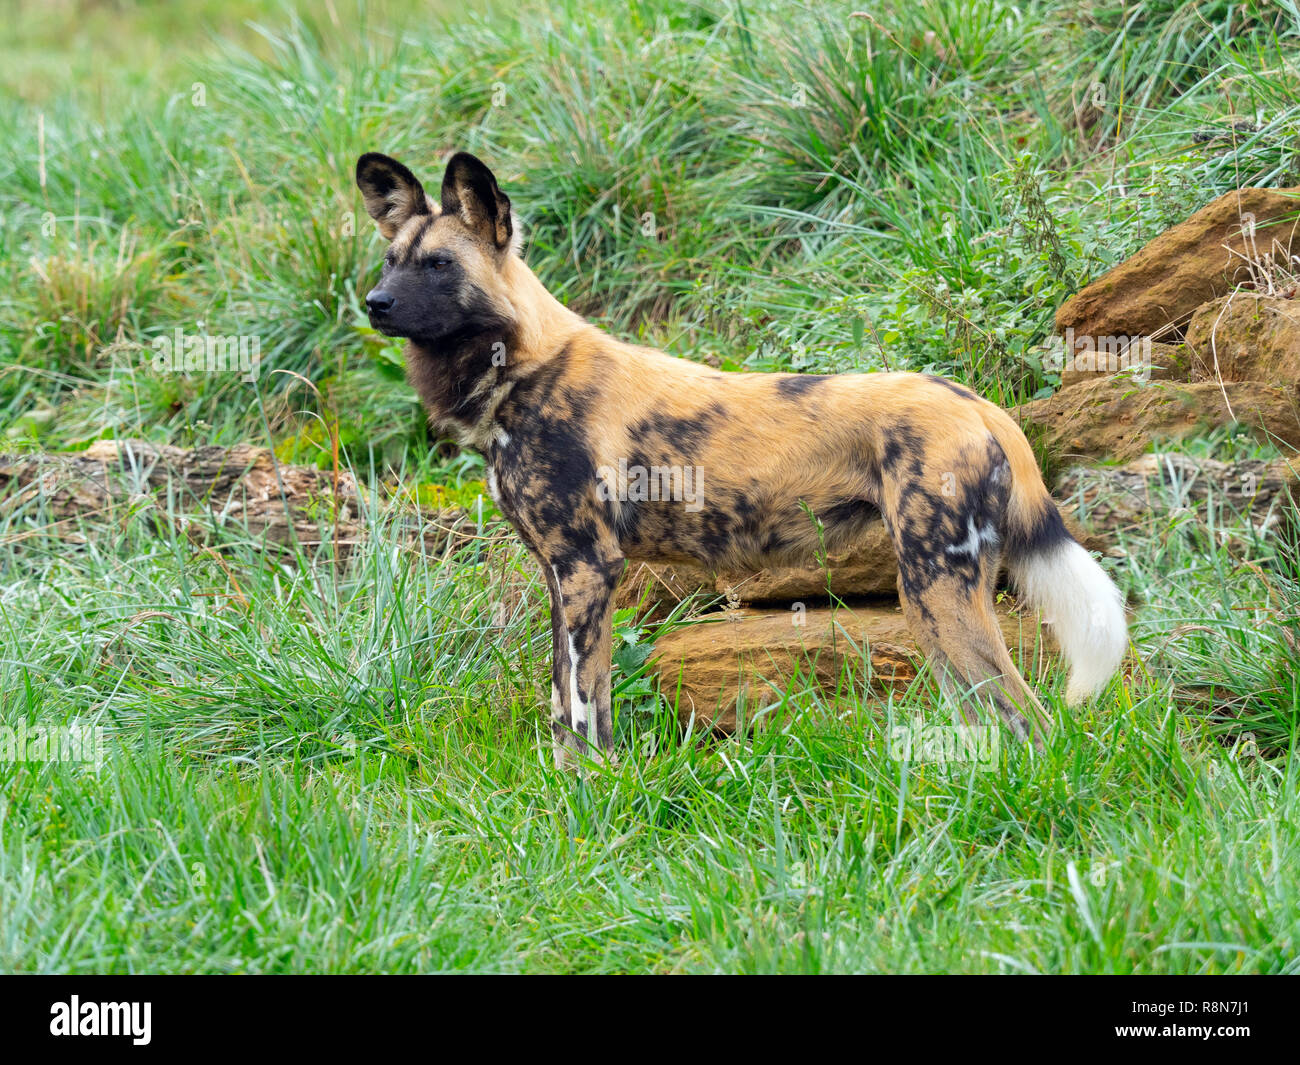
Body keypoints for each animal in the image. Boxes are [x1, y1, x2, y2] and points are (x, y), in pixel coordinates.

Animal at [355, 150, 1128, 768]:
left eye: (438, 265)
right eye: (391, 261)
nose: (375, 303)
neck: (522, 369)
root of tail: (978, 403)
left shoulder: (586, 568)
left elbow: (583, 707)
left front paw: (586, 790)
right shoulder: (559, 574)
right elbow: (561, 700)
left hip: (935, 587)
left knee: (1028, 719)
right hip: (938, 599)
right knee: (997, 718)